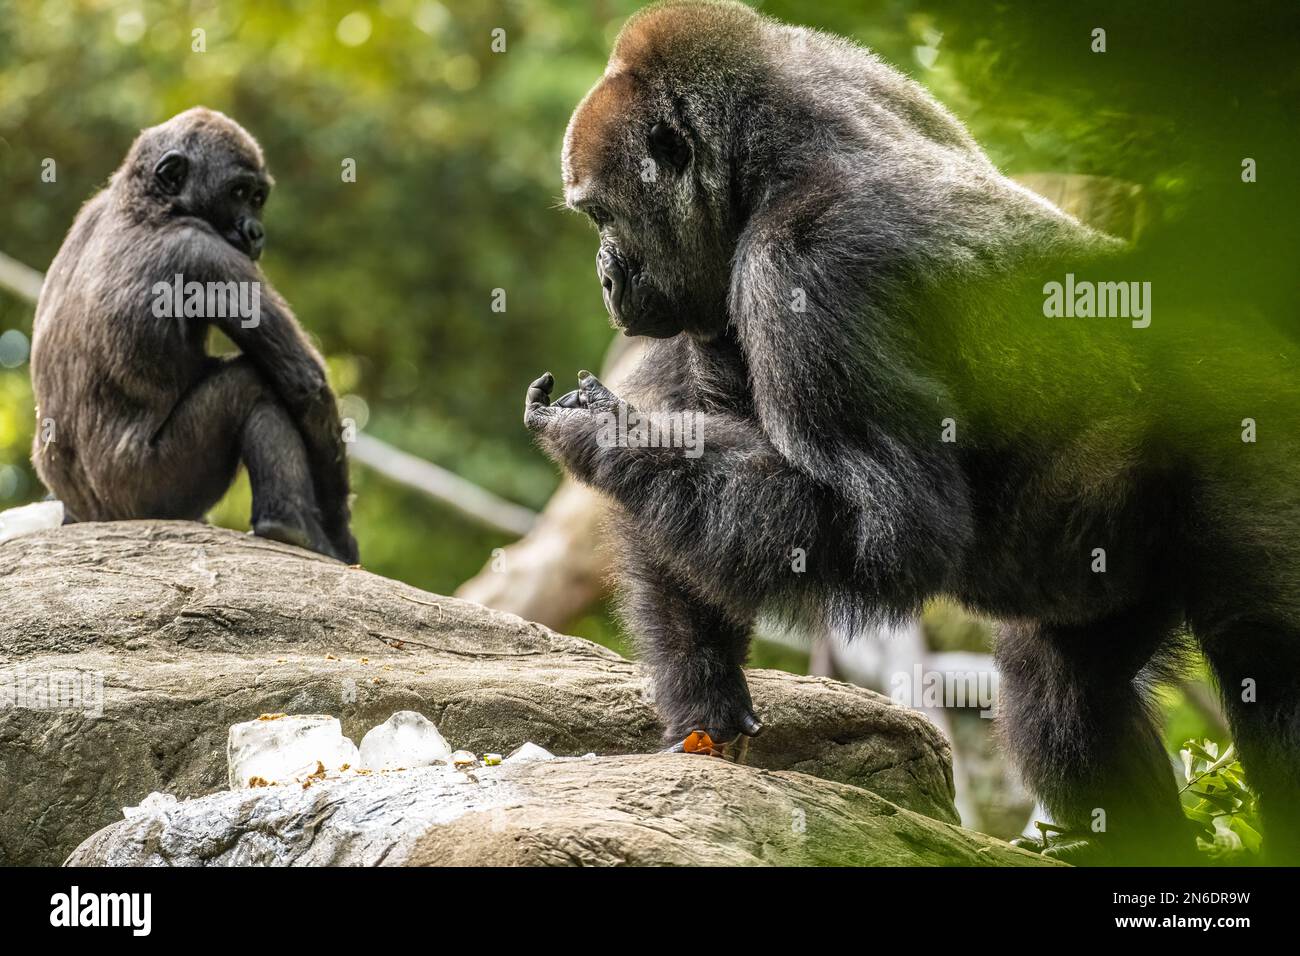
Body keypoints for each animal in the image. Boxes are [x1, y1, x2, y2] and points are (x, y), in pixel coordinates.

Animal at [31, 107, 356, 564]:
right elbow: (305, 384)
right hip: (153, 494)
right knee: (252, 383)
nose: (256, 232)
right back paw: (290, 526)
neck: (147, 201)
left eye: (258, 198)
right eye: (238, 192)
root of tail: (95, 517)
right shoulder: (208, 254)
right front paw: (340, 531)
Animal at [527, 1, 1300, 868]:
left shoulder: (805, 267)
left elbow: (890, 526)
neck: (760, 159)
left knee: (1271, 663)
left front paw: (602, 433)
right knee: (1068, 688)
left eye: (602, 214)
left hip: (1259, 430)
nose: (606, 277)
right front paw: (705, 700)